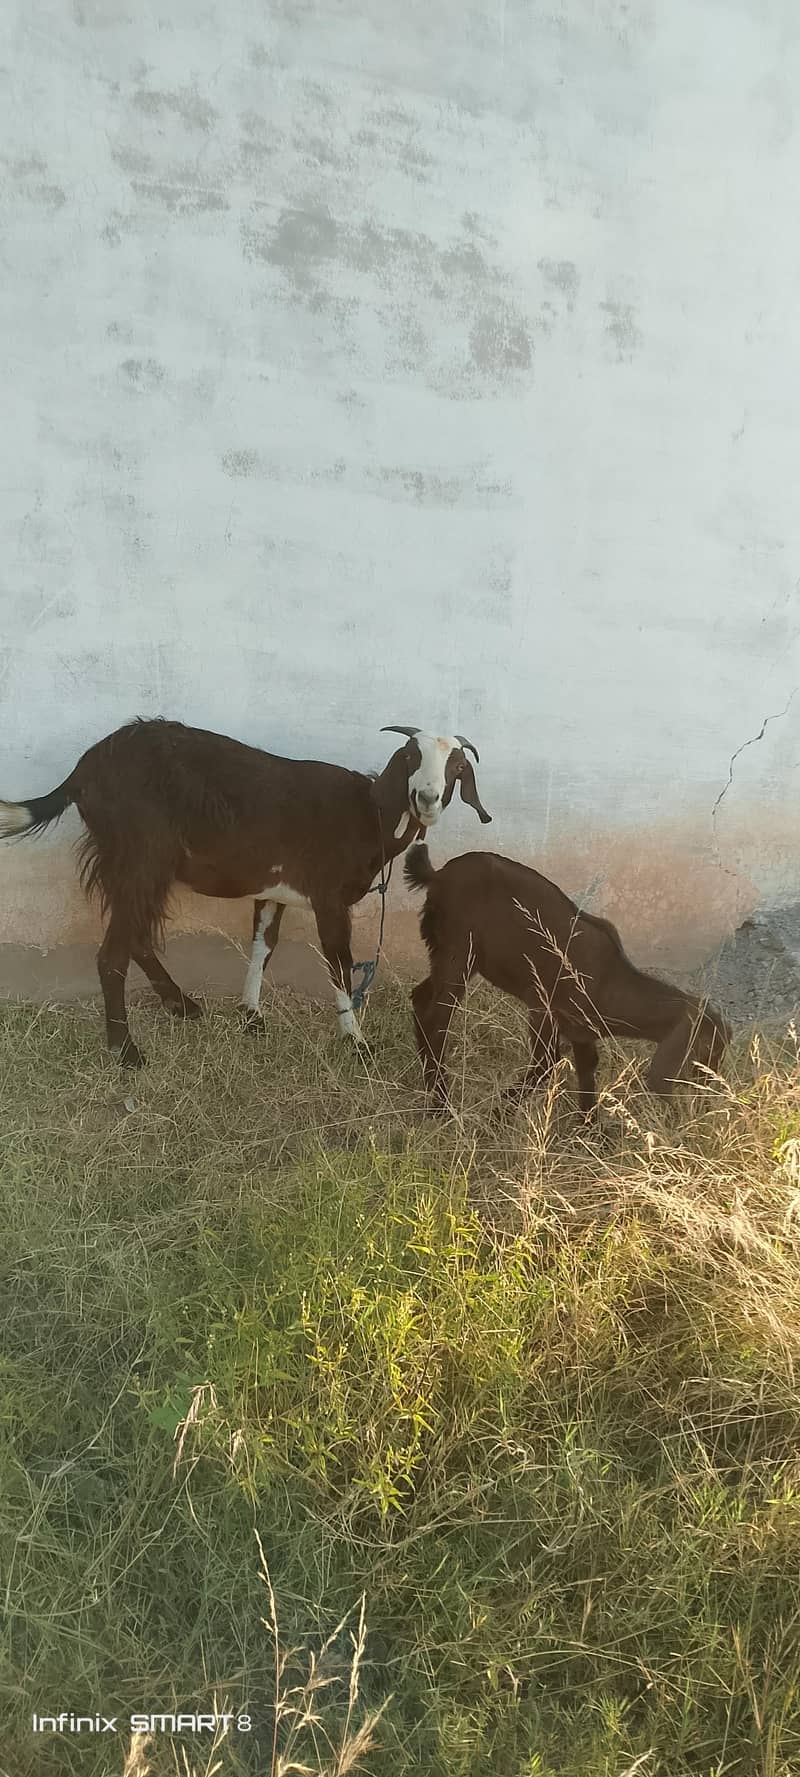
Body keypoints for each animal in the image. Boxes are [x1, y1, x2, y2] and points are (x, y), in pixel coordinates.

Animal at [0, 721, 490, 1068]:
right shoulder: (328, 899)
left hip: (134, 867)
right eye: (409, 756)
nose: (426, 798)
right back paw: (126, 1051)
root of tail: (84, 771)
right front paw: (356, 1042)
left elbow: (262, 947)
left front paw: (251, 1016)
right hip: (140, 858)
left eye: (457, 768)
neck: (368, 814)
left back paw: (182, 1006)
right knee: (111, 954)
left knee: (136, 937)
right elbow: (338, 963)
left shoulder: (274, 892)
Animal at [404, 845, 730, 1115]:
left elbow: (586, 1069)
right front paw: (499, 1114)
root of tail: (437, 876)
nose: (708, 1089)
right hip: (459, 950)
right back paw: (441, 1105)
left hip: (450, 953)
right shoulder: (544, 1007)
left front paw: (590, 1130)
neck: (611, 981)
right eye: (708, 1048)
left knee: (420, 1000)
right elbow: (546, 1062)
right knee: (437, 1018)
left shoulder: (581, 1030)